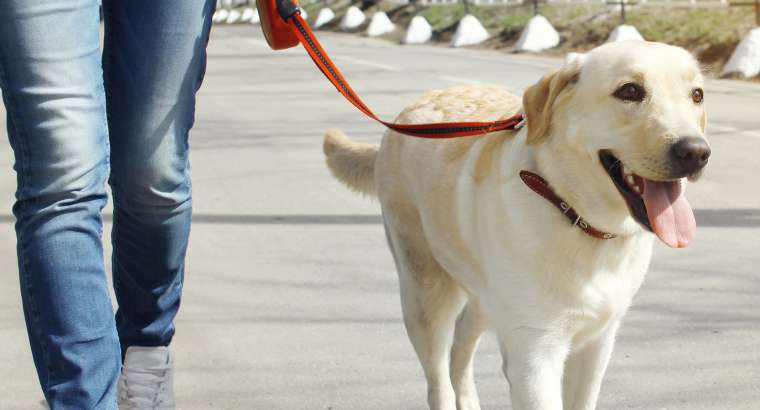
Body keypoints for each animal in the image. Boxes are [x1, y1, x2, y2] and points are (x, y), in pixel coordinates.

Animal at [324, 41, 708, 410]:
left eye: (697, 95)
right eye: (629, 91)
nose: (696, 152)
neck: (574, 214)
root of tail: (406, 114)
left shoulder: (597, 345)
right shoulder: (534, 354)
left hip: (485, 294)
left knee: (461, 343)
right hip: (424, 294)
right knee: (437, 380)